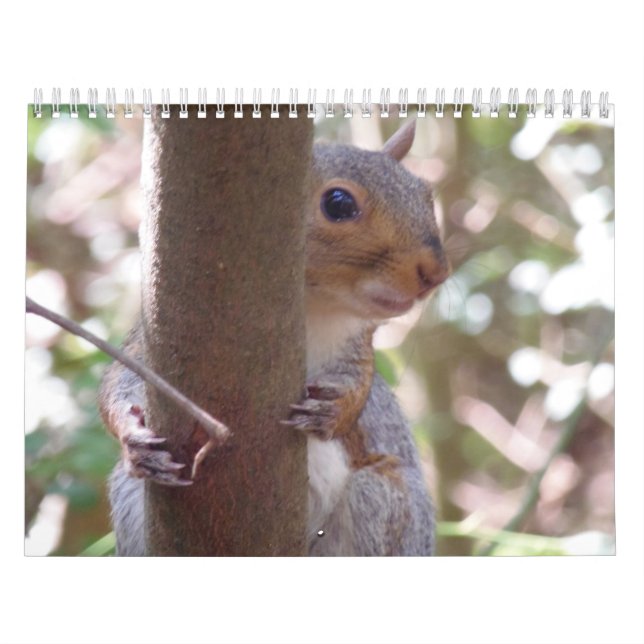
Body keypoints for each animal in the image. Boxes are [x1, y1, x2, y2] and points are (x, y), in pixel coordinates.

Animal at [99, 119, 450, 556]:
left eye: (425, 194)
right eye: (338, 204)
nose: (436, 272)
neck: (318, 309)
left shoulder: (356, 351)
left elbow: (359, 387)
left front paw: (334, 409)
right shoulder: (150, 335)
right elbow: (119, 381)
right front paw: (133, 436)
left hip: (386, 506)